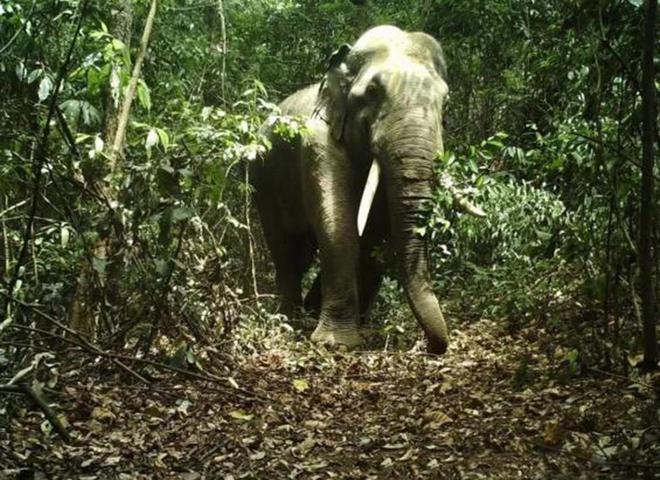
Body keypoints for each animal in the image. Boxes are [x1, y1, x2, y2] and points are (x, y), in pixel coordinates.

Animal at [250, 25, 482, 354]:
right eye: (373, 92)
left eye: (445, 101)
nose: (431, 346)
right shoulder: (318, 147)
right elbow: (340, 227)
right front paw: (336, 343)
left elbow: (376, 241)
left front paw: (356, 334)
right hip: (262, 182)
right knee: (288, 252)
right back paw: (290, 322)